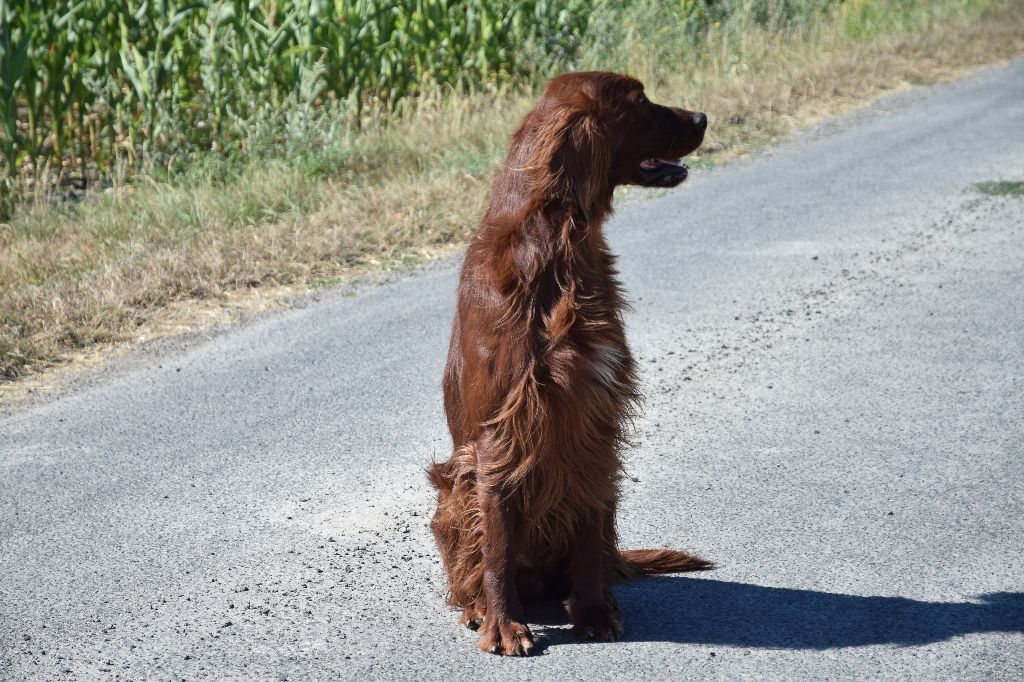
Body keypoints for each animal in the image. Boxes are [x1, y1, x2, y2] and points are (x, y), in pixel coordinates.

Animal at [428, 70, 708, 655]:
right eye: (639, 100)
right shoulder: (502, 433)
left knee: (596, 551)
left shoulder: (593, 418)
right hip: (452, 490)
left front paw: (595, 612)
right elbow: (497, 547)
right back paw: (476, 606)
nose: (702, 117)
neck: (554, 248)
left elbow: (585, 526)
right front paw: (504, 625)